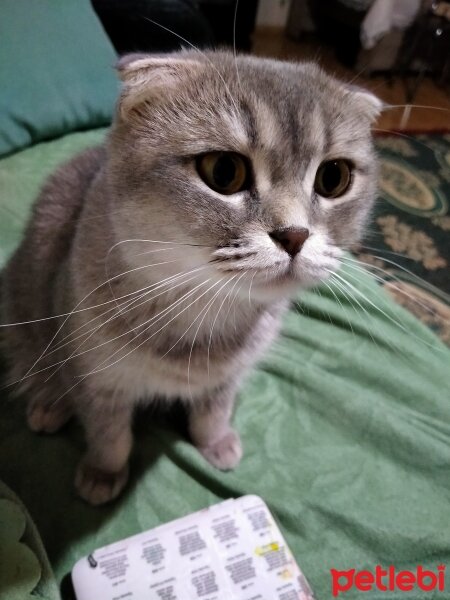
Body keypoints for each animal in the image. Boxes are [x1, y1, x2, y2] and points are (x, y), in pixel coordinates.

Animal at [0, 51, 380, 504]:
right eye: (224, 171)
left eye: (333, 177)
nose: (295, 235)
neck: (202, 314)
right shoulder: (95, 375)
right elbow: (110, 434)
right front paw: (102, 472)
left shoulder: (228, 377)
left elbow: (212, 411)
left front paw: (216, 442)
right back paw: (50, 404)